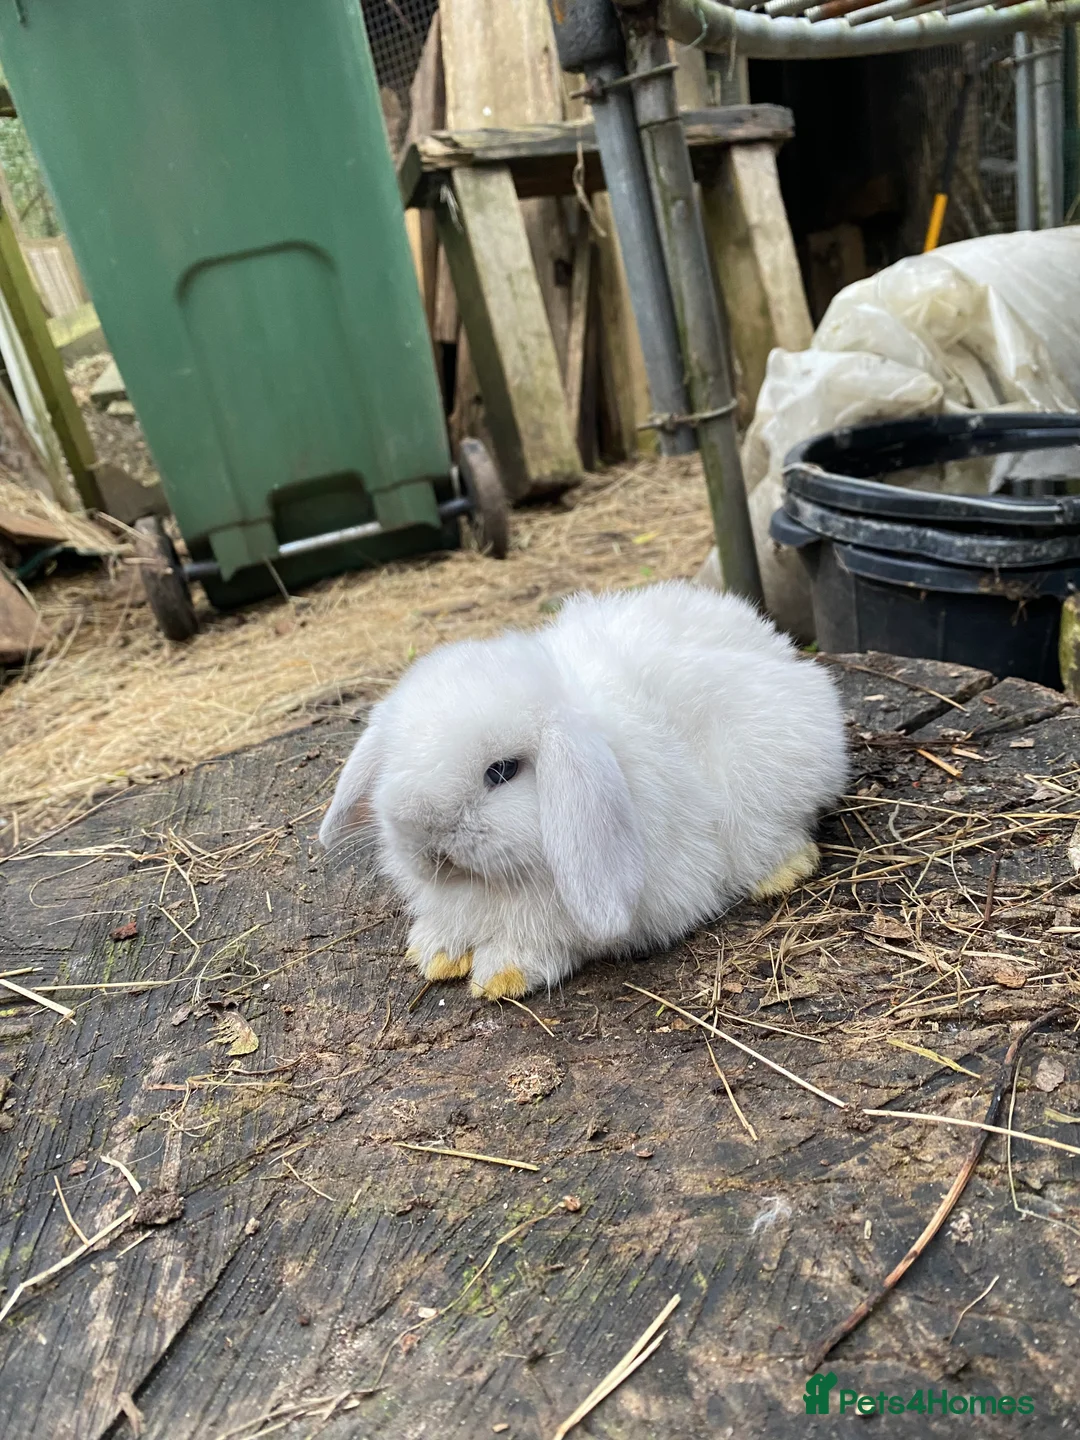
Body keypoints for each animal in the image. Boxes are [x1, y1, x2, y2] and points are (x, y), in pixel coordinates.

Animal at [319, 580, 848, 1000]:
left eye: (502, 771)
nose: (427, 843)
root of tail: (773, 642)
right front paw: (434, 955)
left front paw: (502, 976)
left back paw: (782, 872)